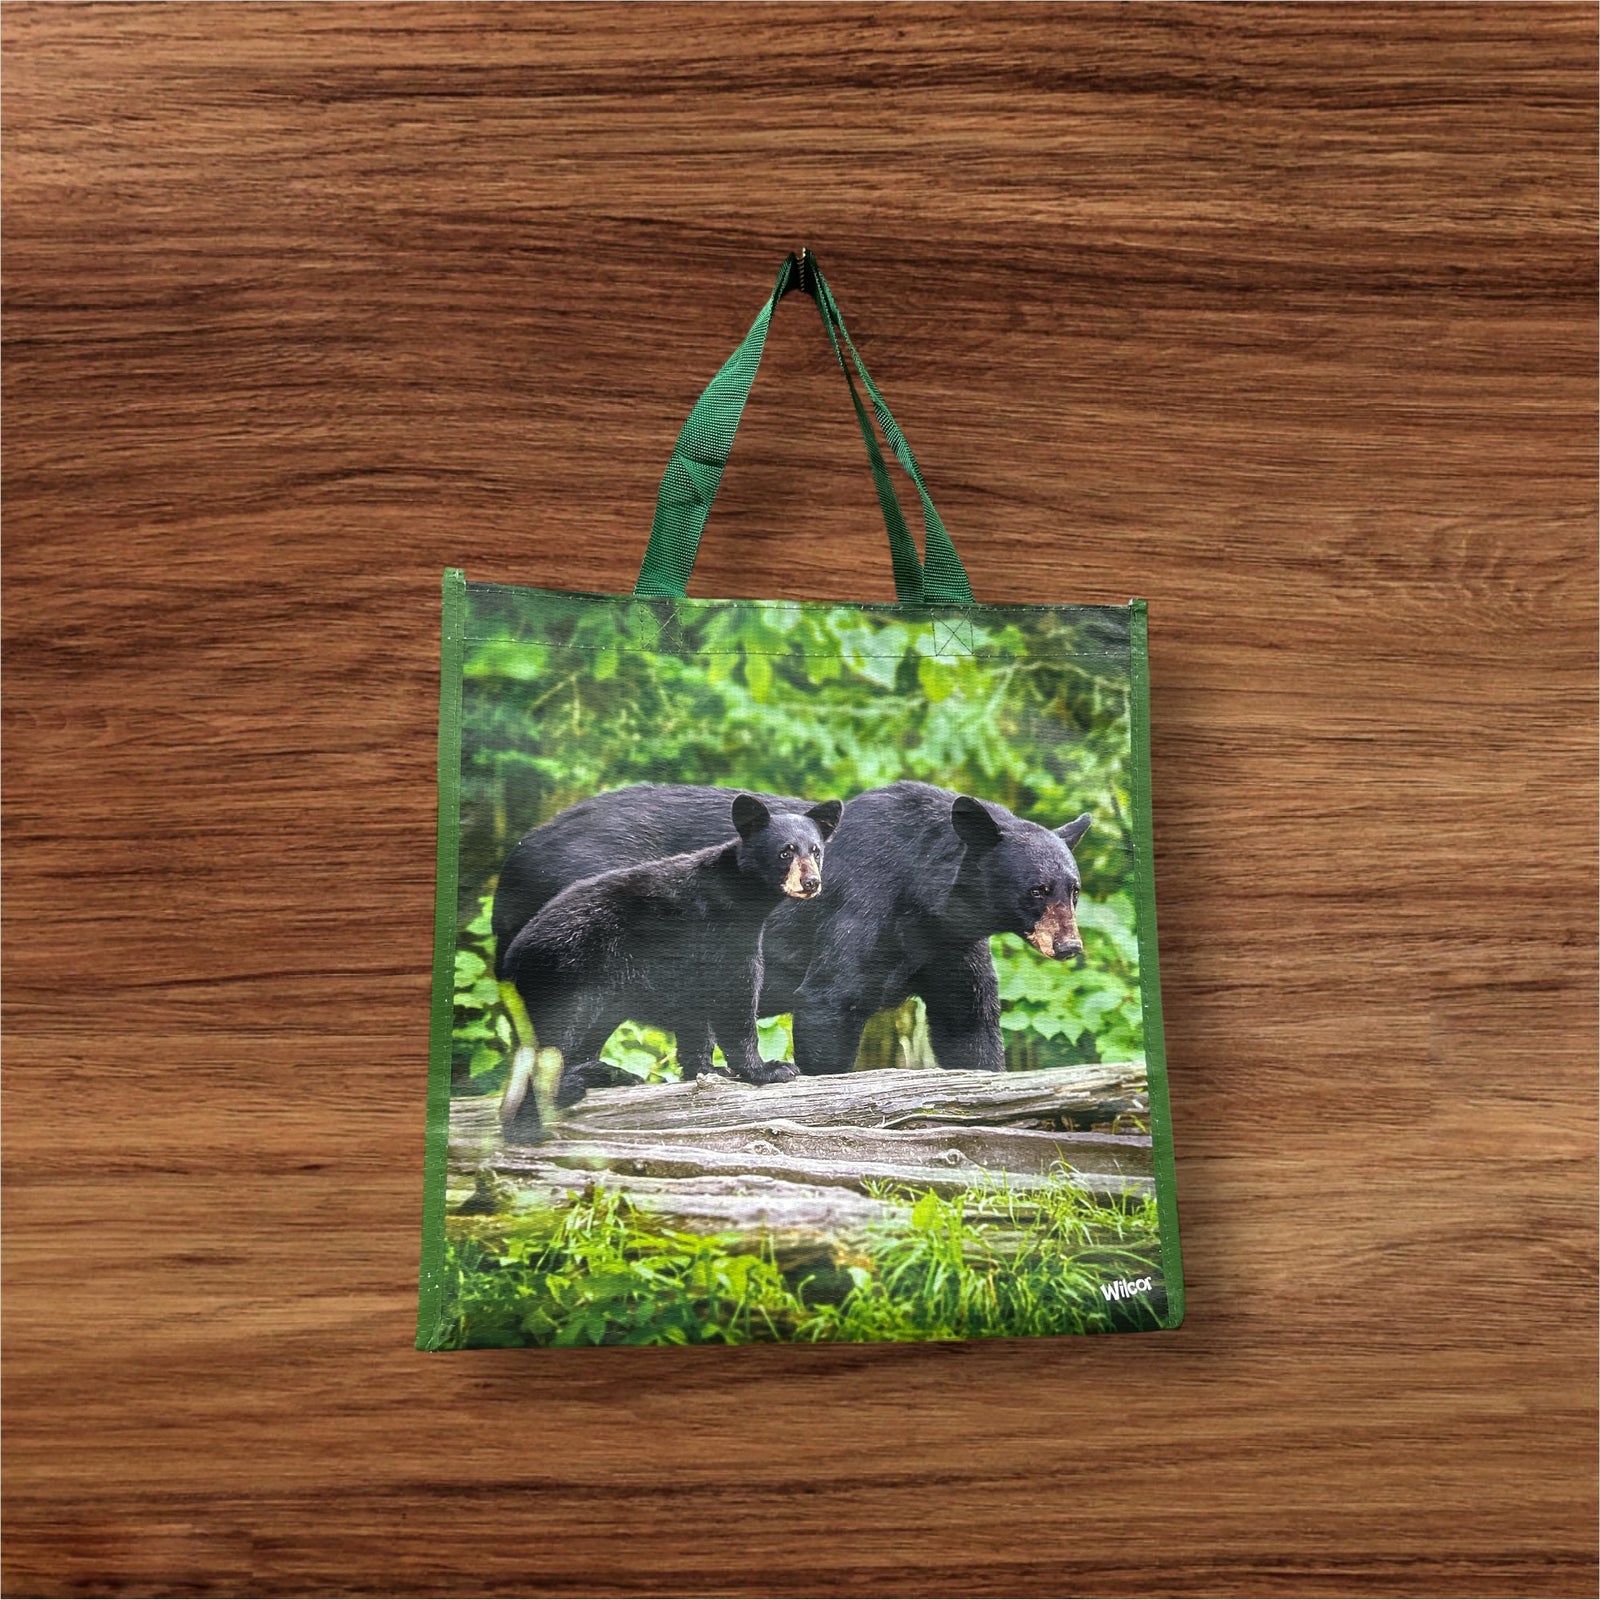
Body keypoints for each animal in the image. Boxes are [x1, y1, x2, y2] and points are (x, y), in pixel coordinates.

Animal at [492, 780, 1091, 1082]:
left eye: (1073, 889)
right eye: (1036, 889)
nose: (1069, 946)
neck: (928, 899)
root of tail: (511, 862)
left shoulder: (949, 944)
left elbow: (968, 1023)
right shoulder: (867, 907)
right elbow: (830, 1002)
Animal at [496, 792, 842, 1143]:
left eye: (815, 850)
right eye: (786, 851)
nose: (811, 882)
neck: (739, 896)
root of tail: (512, 952)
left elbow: (697, 1015)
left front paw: (708, 1070)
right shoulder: (720, 932)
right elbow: (735, 996)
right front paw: (768, 1069)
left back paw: (599, 1075)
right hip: (565, 975)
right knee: (550, 1044)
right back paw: (528, 1125)